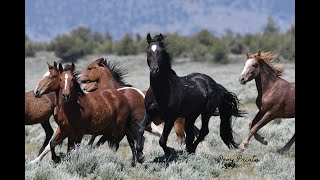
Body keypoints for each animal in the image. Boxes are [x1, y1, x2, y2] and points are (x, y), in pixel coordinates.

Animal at [136, 33, 245, 161]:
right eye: (148, 51)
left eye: (161, 51)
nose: (154, 70)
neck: (161, 91)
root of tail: (214, 84)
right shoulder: (149, 113)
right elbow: (140, 129)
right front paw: (140, 155)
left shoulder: (171, 118)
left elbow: (162, 140)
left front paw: (169, 152)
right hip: (191, 115)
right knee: (190, 134)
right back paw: (188, 150)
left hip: (206, 113)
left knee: (203, 131)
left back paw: (191, 149)